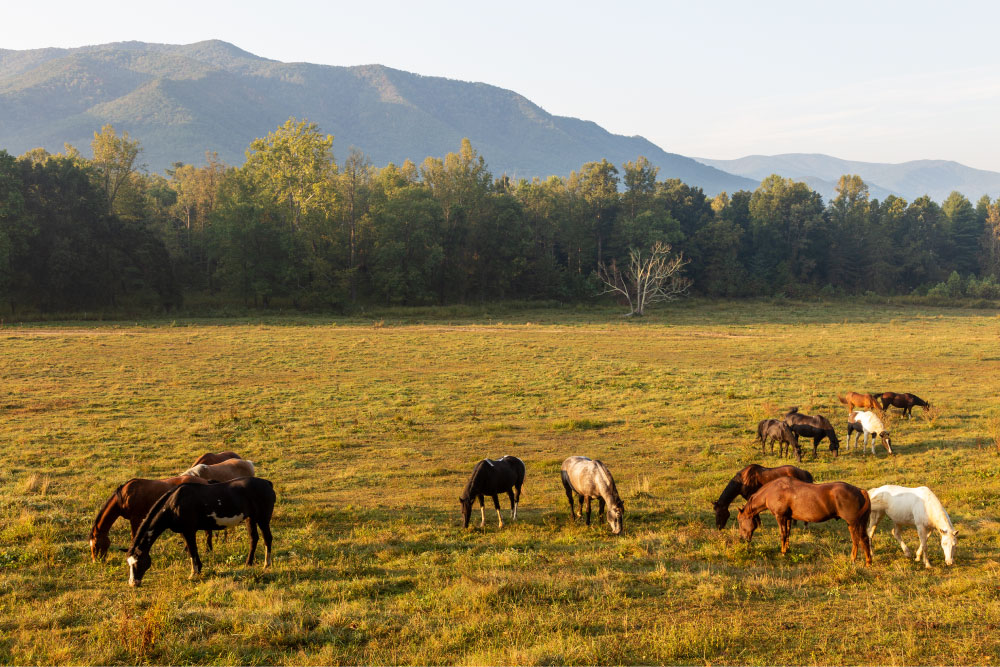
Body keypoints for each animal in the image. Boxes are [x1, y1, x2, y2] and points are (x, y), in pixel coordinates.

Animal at [126, 477, 275, 586]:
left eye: (138, 563)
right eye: (129, 563)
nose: (133, 583)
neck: (174, 503)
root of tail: (267, 483)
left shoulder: (189, 530)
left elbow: (192, 550)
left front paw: (193, 573)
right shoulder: (184, 532)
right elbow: (192, 550)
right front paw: (199, 569)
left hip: (263, 519)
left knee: (267, 538)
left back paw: (266, 564)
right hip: (250, 518)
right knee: (253, 538)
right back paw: (248, 563)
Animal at [737, 477, 872, 565]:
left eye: (740, 521)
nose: (742, 539)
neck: (772, 491)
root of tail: (860, 491)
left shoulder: (780, 517)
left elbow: (783, 534)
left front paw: (782, 552)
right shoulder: (788, 518)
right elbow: (788, 534)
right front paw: (787, 549)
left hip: (854, 523)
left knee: (859, 539)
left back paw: (859, 561)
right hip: (856, 523)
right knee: (861, 539)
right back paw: (862, 560)